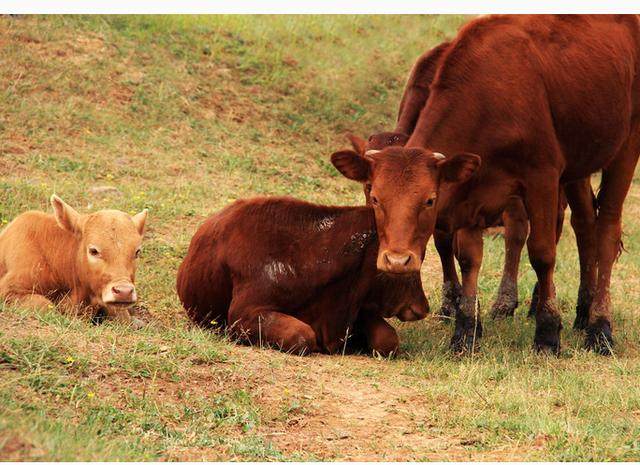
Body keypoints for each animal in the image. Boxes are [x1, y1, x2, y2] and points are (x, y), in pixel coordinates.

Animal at [332, 15, 636, 356]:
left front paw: (547, 332)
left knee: (604, 229)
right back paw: (582, 311)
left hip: (624, 146)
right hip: (578, 165)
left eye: (429, 199)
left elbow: (542, 252)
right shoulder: (468, 188)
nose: (396, 260)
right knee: (583, 224)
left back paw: (598, 326)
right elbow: (466, 255)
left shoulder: (541, 176)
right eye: (373, 195)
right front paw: (465, 327)